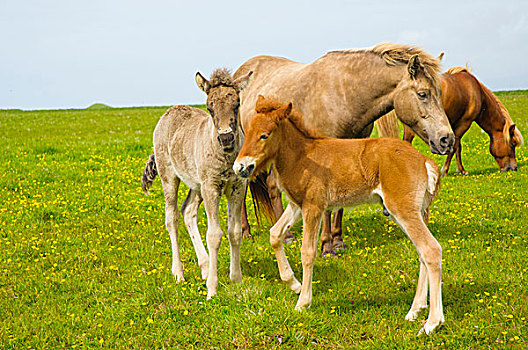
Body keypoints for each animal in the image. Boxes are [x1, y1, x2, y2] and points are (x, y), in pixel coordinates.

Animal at [233, 96, 444, 336]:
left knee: (431, 249)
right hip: (415, 212)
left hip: (403, 209)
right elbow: (275, 234)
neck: (302, 155)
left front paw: (303, 302)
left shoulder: (314, 207)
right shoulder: (297, 205)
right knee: (422, 253)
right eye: (247, 132)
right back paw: (415, 310)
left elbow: (307, 252)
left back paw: (432, 322)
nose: (240, 167)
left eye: (264, 135)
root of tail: (425, 161)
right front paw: (293, 284)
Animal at [234, 42, 454, 256]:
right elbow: (327, 209)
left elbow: (339, 206)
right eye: (422, 94)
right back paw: (249, 232)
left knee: (270, 185)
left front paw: (338, 241)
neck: (344, 95)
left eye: (440, 92)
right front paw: (326, 247)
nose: (447, 140)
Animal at [378, 66, 520, 175]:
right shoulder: (464, 123)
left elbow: (458, 147)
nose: (513, 168)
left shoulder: (455, 124)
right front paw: (445, 170)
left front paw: (461, 170)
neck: (476, 91)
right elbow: (455, 146)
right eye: (512, 144)